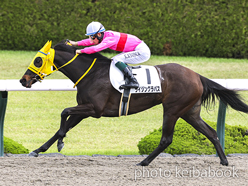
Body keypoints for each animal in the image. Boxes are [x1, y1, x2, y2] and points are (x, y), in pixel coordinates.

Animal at [19, 40, 248, 166]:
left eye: (38, 60)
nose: (23, 80)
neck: (91, 74)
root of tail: (197, 75)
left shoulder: (94, 109)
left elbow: (64, 112)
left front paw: (60, 142)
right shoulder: (84, 110)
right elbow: (64, 124)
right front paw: (40, 149)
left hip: (172, 109)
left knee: (166, 139)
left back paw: (143, 161)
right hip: (190, 112)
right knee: (211, 132)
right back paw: (224, 160)